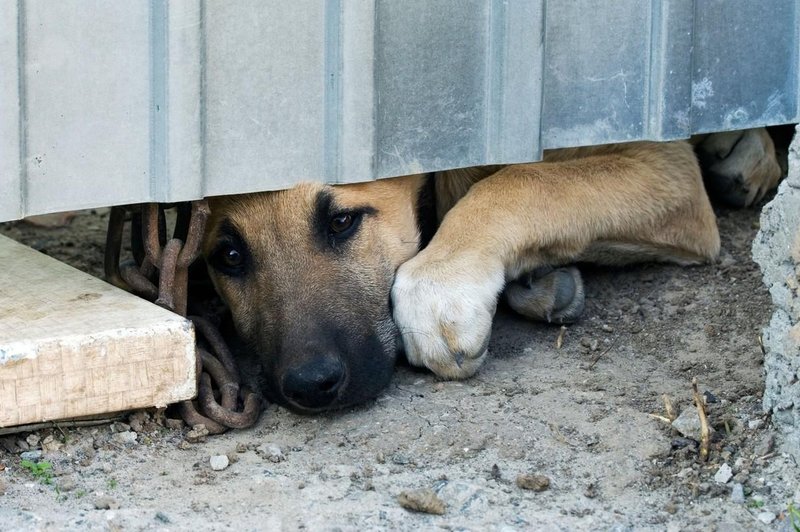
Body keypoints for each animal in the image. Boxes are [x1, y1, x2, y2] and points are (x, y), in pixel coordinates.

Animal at [203, 127, 784, 414]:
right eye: (228, 257)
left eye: (342, 222)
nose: (309, 386)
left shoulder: (665, 166)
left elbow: (520, 181)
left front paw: (439, 288)